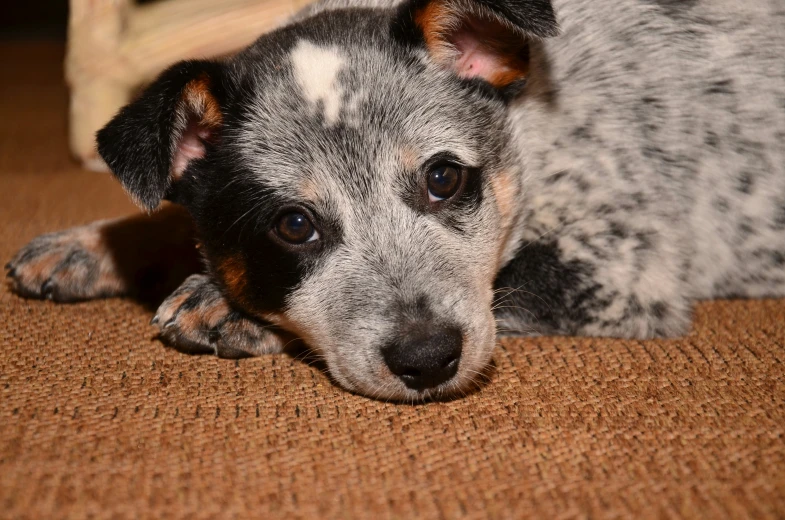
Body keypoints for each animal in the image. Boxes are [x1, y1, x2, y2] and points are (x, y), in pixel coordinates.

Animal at [6, 0, 784, 400]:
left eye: (443, 178)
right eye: (294, 224)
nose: (427, 358)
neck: (530, 117)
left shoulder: (618, 267)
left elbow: (505, 284)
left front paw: (220, 303)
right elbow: (170, 214)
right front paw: (89, 245)